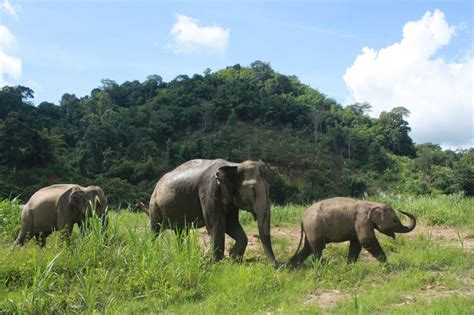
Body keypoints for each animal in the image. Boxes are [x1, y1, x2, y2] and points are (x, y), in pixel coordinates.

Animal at [137, 158, 276, 264]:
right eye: (252, 189)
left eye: (269, 189)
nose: (275, 266)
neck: (233, 164)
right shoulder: (208, 191)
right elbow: (216, 224)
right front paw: (217, 262)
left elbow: (231, 224)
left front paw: (234, 258)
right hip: (154, 205)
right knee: (155, 229)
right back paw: (152, 251)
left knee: (181, 232)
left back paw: (184, 255)